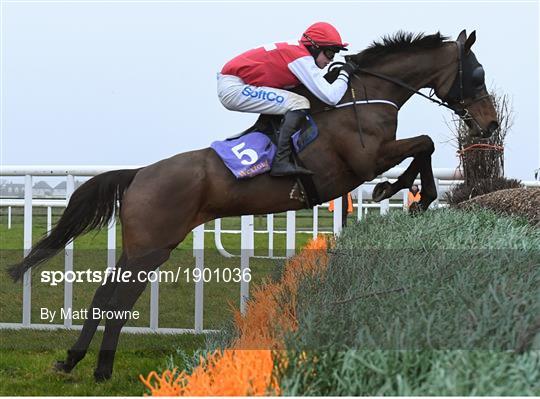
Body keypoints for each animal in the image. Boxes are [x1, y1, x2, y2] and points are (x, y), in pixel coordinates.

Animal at [7, 28, 498, 382]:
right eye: (477, 74)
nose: (490, 124)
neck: (359, 99)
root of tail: (140, 173)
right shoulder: (365, 158)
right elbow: (425, 143)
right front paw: (406, 193)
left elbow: (422, 148)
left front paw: (403, 191)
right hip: (152, 246)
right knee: (116, 300)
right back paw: (93, 367)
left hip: (142, 247)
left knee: (104, 297)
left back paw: (81, 363)